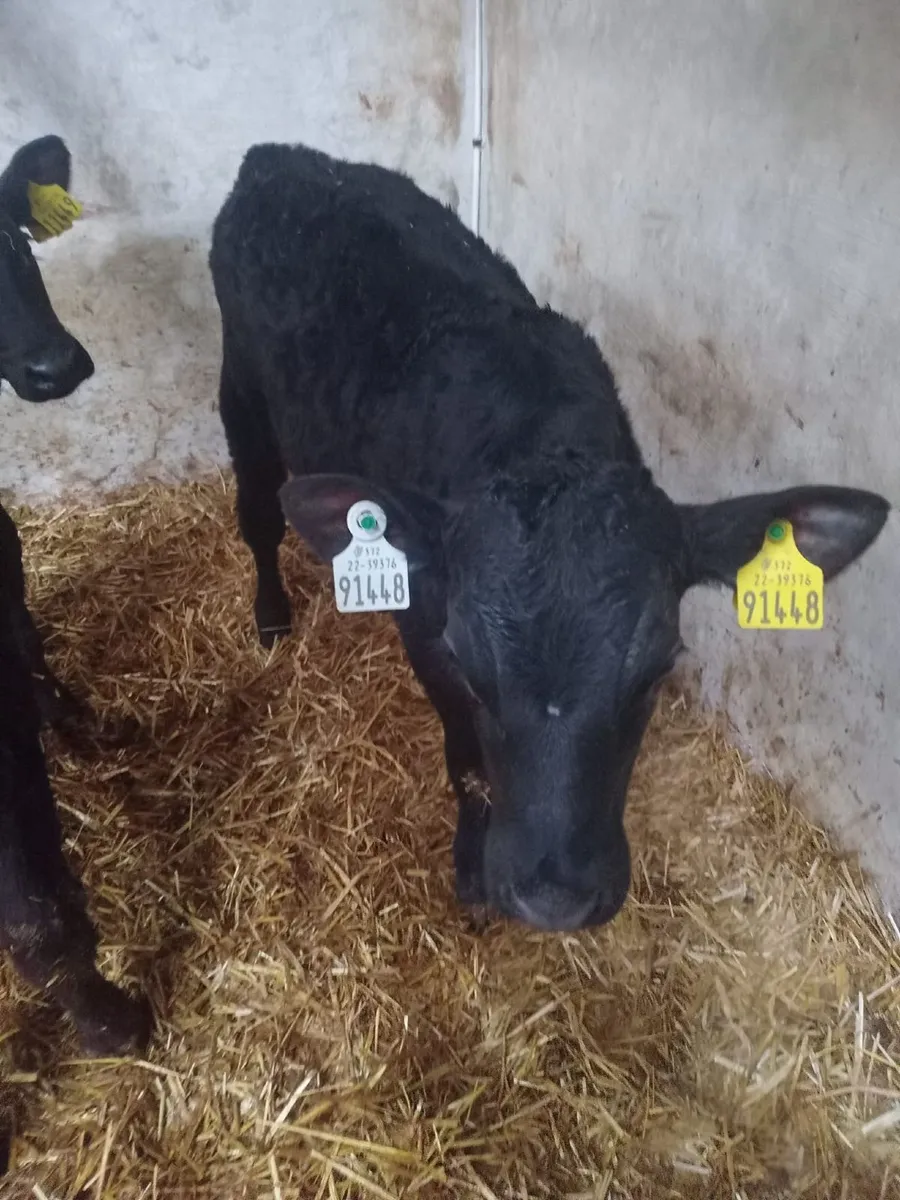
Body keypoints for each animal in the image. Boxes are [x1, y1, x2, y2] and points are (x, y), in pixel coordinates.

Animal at [209, 141, 890, 934]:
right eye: (468, 664)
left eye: (658, 667)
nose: (555, 898)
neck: (538, 434)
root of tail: (278, 157)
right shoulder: (423, 626)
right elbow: (467, 759)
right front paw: (472, 869)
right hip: (241, 392)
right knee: (259, 515)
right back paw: (271, 616)